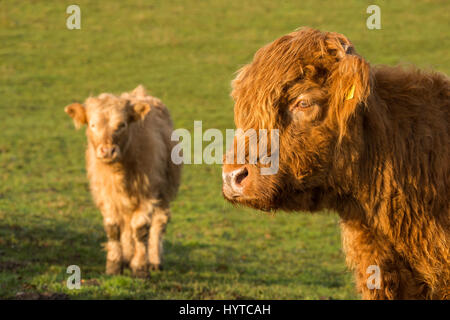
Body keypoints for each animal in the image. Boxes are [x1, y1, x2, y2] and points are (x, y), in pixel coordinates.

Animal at [65, 85, 181, 278]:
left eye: (121, 125)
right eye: (93, 125)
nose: (107, 151)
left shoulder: (148, 192)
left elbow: (140, 229)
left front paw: (140, 267)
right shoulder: (106, 195)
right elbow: (113, 229)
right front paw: (114, 264)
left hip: (166, 189)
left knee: (158, 222)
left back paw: (154, 260)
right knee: (127, 226)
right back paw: (127, 257)